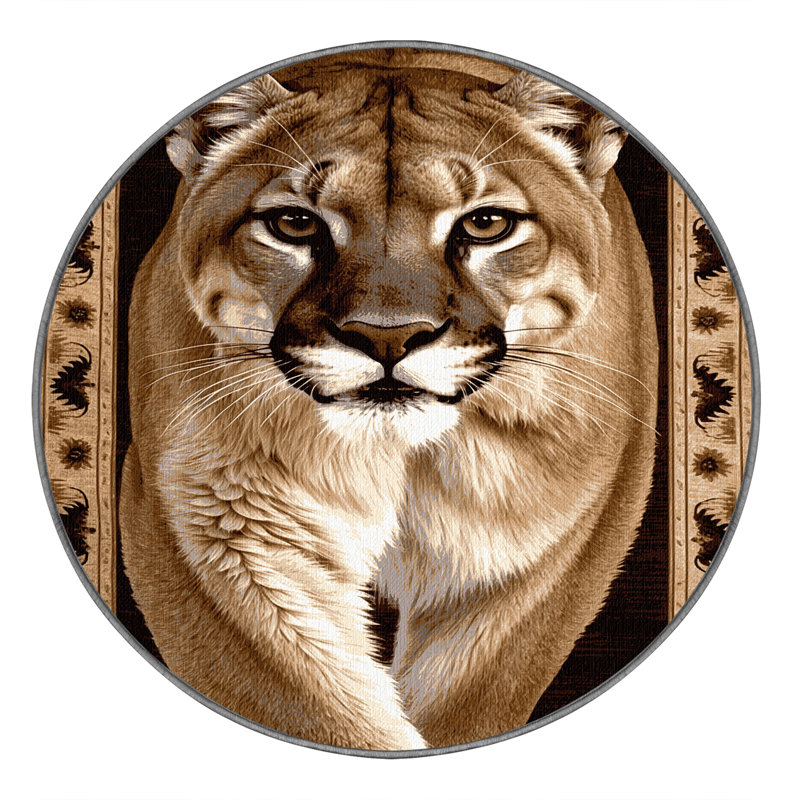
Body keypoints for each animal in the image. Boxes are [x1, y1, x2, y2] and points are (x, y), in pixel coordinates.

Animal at [118, 48, 658, 751]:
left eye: (486, 223)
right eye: (295, 222)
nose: (387, 336)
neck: (402, 457)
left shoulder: (543, 546)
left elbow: (467, 699)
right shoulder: (210, 524)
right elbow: (302, 699)